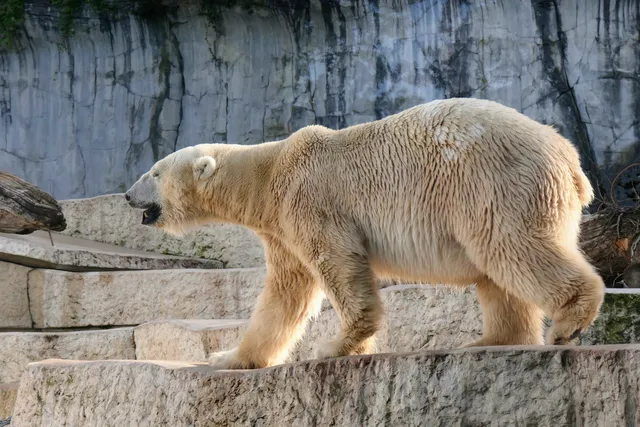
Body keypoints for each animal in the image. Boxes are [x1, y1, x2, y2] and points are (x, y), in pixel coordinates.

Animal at [125, 97, 605, 370]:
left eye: (153, 171)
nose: (128, 195)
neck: (269, 171)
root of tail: (569, 157)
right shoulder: (280, 228)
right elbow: (285, 293)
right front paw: (229, 357)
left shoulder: (308, 200)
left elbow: (338, 265)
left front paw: (336, 346)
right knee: (496, 272)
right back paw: (492, 339)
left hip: (490, 181)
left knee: (510, 248)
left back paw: (567, 323)